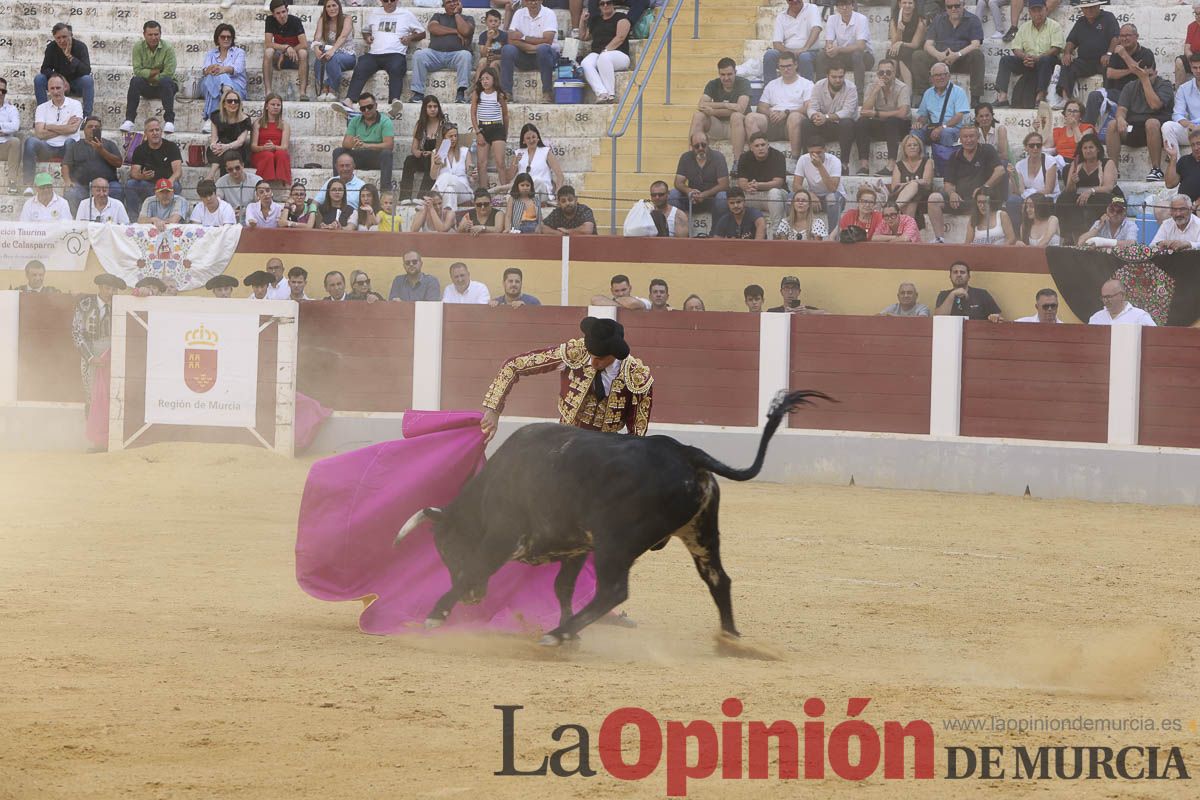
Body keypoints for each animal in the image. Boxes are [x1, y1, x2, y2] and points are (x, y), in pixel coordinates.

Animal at [398, 388, 830, 642]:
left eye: (447, 549)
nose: (474, 599)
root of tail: (687, 452)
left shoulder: (503, 539)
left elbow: (476, 569)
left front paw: (435, 616)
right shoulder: (575, 546)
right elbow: (563, 587)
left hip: (616, 542)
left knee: (614, 590)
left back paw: (555, 635)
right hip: (701, 532)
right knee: (718, 579)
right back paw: (729, 636)